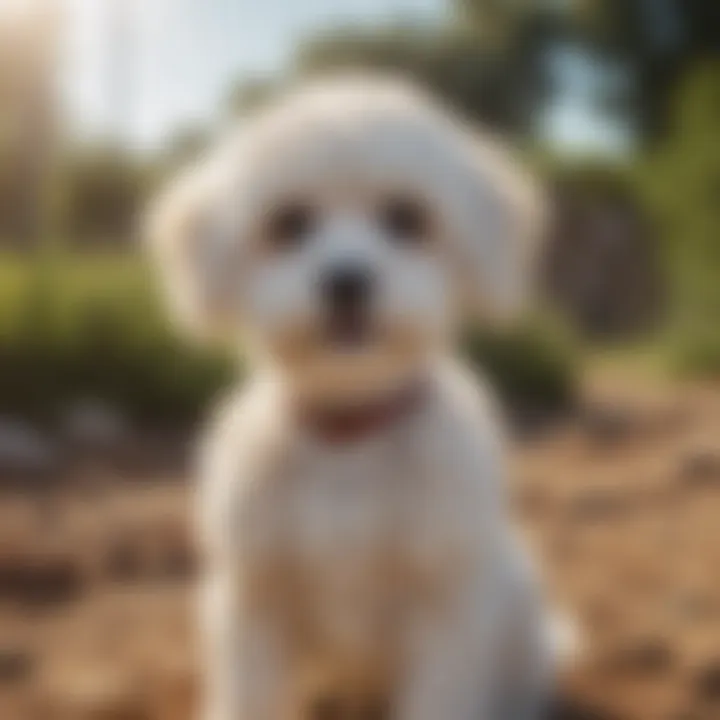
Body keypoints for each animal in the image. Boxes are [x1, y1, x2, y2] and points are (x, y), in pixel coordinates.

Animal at [149, 76, 556, 720]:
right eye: (289, 223)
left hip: (514, 601)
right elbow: (249, 697)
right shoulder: (252, 601)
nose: (346, 280)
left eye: (407, 217)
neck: (349, 434)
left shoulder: (445, 609)